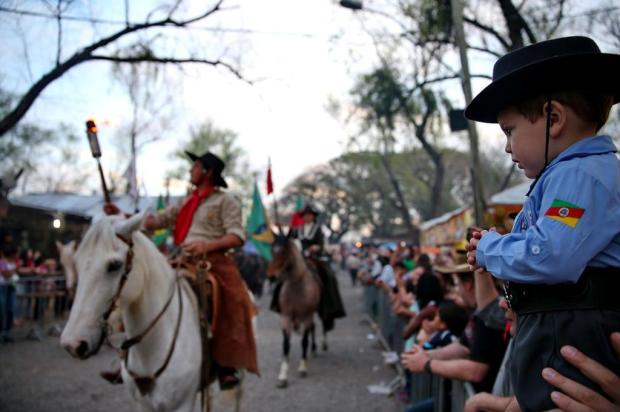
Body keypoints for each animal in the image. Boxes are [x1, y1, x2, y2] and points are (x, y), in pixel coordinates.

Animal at [268, 233, 322, 388]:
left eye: (284, 252)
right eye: (272, 249)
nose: (271, 276)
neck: (296, 285)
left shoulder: (307, 316)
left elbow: (304, 341)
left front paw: (302, 368)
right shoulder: (286, 318)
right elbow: (286, 345)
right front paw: (283, 376)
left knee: (312, 329)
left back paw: (314, 349)